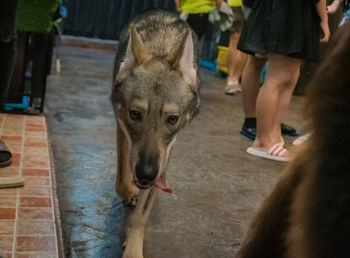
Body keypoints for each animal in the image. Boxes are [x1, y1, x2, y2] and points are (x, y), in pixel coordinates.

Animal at [112, 10, 200, 258]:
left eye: (172, 119)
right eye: (135, 114)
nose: (146, 173)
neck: (160, 47)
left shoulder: (167, 152)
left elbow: (142, 213)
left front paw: (133, 250)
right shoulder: (121, 127)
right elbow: (122, 181)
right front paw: (131, 189)